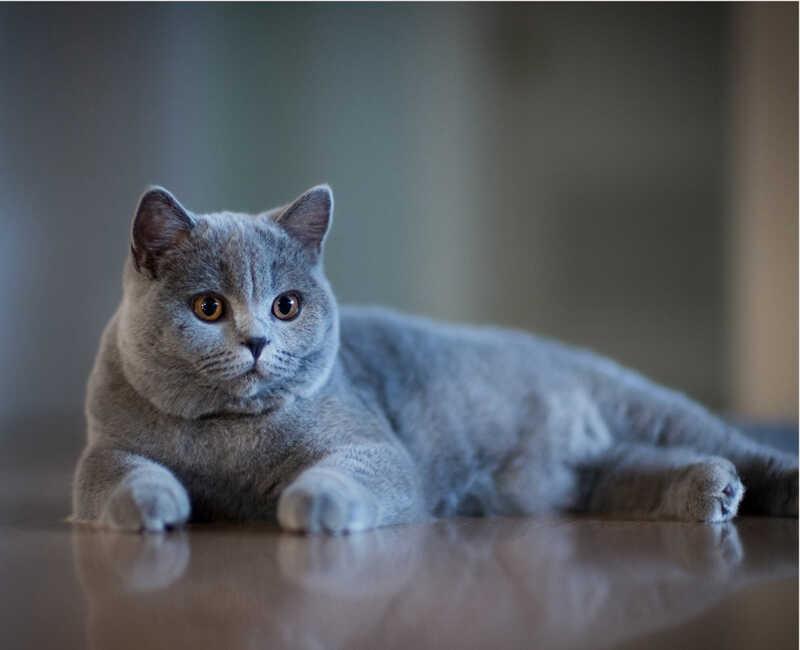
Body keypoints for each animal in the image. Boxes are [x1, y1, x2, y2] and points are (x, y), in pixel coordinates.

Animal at [72, 182, 796, 532]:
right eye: (208, 308)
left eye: (286, 306)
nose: (256, 341)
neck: (229, 438)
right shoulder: (106, 451)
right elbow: (123, 479)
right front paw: (153, 508)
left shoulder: (373, 448)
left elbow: (345, 474)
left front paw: (314, 508)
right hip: (587, 475)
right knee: (635, 471)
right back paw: (712, 488)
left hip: (649, 408)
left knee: (734, 444)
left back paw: (765, 486)